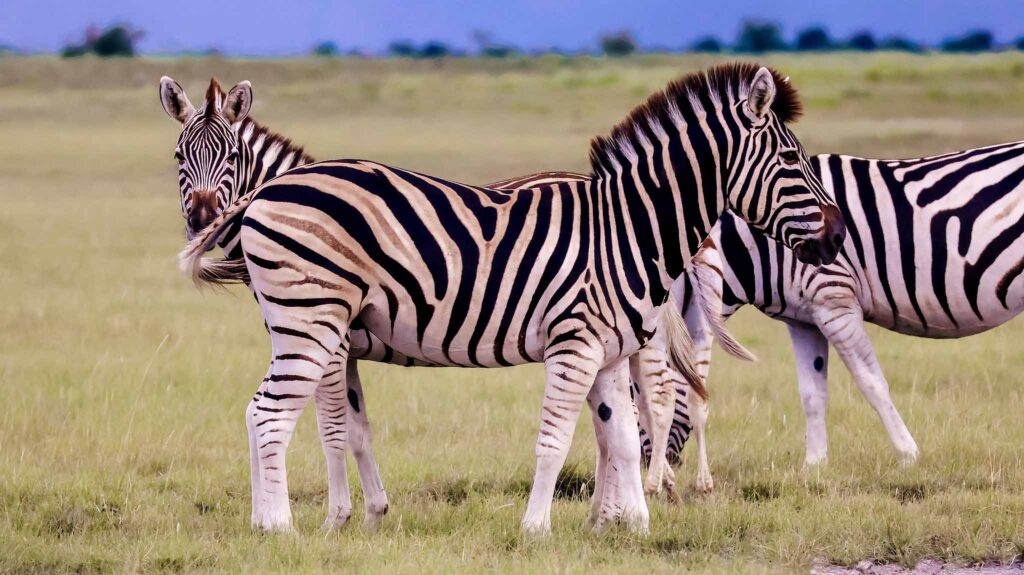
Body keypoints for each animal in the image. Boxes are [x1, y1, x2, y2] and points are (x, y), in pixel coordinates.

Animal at [175, 62, 846, 534]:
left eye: (228, 154)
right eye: (792, 159)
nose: (839, 234)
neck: (628, 226)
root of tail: (263, 195)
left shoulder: (605, 351)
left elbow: (619, 438)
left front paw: (632, 525)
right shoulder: (575, 345)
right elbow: (551, 439)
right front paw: (536, 528)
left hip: (307, 329)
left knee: (260, 412)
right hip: (309, 324)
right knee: (268, 414)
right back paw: (277, 528)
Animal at [651, 140, 1024, 488]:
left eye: (642, 393)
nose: (657, 480)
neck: (756, 246)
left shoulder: (834, 299)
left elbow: (872, 382)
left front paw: (908, 455)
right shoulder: (803, 320)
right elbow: (811, 393)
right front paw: (813, 467)